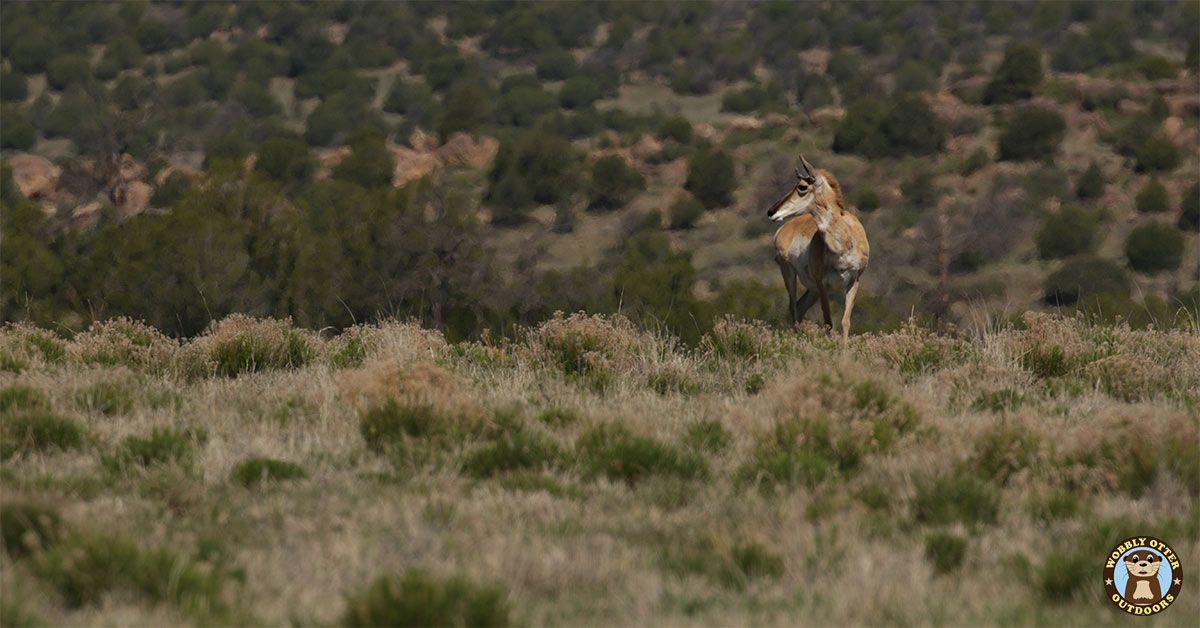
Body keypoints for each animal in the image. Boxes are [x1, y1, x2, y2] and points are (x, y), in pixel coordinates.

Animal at [768, 156, 873, 343]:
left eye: (802, 186)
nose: (771, 211)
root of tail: (785, 229)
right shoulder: (822, 285)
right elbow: (828, 322)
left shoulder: (854, 282)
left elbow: (845, 321)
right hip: (790, 275)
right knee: (793, 309)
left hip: (812, 290)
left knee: (799, 307)